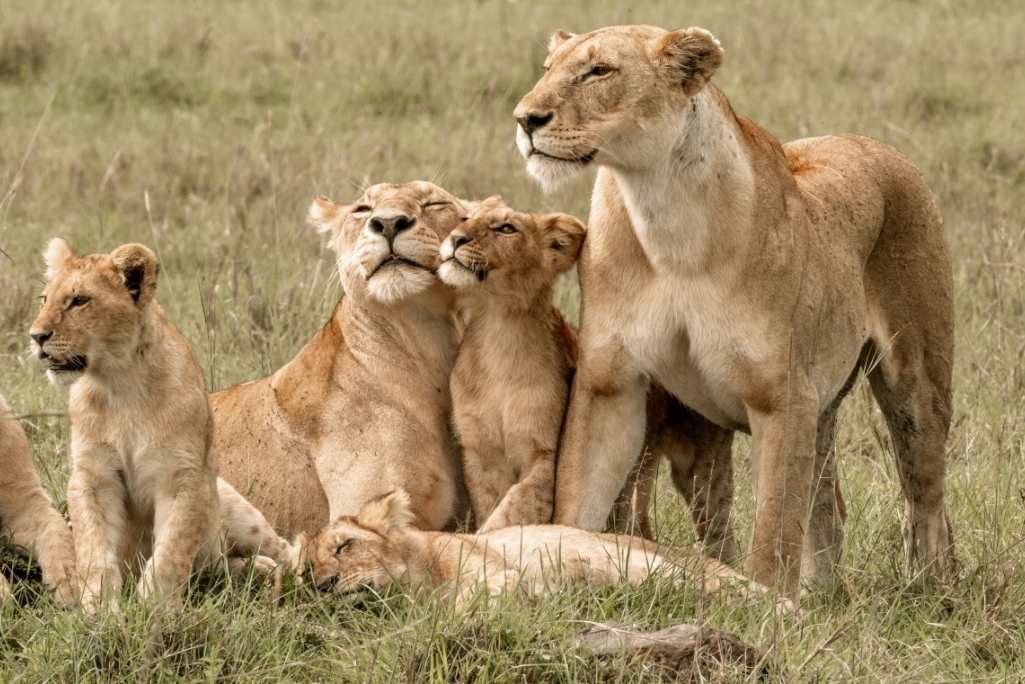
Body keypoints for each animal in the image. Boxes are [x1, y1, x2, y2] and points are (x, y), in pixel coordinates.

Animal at [30, 239, 293, 610]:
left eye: (79, 300)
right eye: (44, 299)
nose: (35, 336)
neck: (120, 384)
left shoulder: (182, 477)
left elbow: (171, 550)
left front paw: (154, 609)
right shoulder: (93, 476)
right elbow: (94, 548)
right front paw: (100, 608)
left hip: (234, 507)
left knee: (283, 550)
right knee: (217, 569)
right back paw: (259, 572)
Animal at [301, 489, 789, 612]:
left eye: (344, 546)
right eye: (308, 570)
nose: (324, 585)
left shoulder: (495, 573)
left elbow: (470, 603)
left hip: (646, 564)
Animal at [438, 198, 738, 558]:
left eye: (506, 228)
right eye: (465, 218)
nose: (455, 239)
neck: (497, 330)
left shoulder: (545, 455)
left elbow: (515, 508)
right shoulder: (480, 455)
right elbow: (494, 506)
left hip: (701, 467)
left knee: (719, 528)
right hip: (634, 471)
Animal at [514, 25, 954, 595]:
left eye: (599, 71)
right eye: (548, 68)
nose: (525, 119)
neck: (664, 216)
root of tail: (876, 144)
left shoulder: (781, 397)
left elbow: (772, 532)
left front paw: (767, 604)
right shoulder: (609, 383)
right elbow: (576, 498)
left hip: (915, 387)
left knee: (926, 502)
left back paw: (932, 592)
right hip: (821, 410)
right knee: (828, 508)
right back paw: (823, 595)